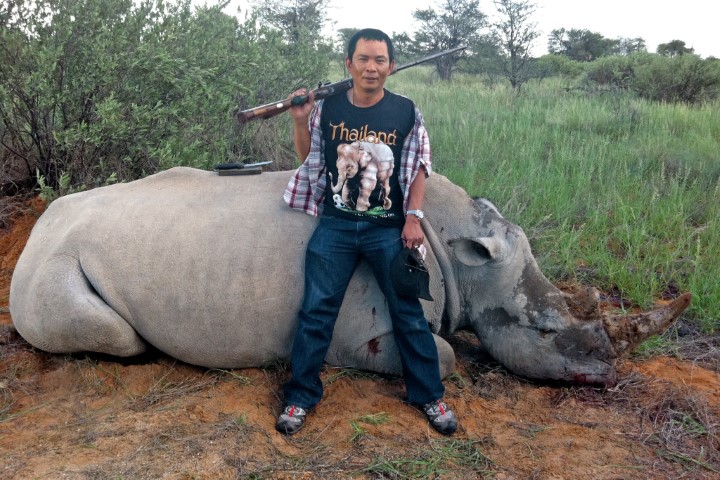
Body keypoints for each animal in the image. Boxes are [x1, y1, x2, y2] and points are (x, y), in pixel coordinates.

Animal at [9, 167, 691, 387]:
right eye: (544, 332)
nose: (608, 376)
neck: (461, 253)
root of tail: (37, 226)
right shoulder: (353, 336)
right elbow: (445, 358)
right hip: (47, 270)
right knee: (117, 335)